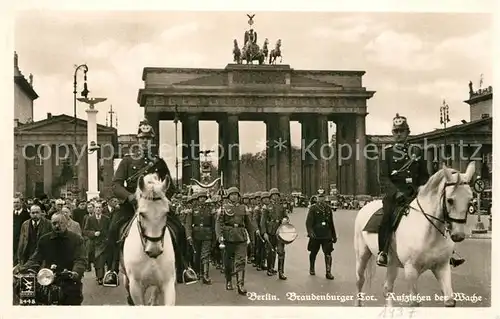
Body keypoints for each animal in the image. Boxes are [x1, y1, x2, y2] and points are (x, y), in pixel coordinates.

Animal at [354, 164, 474, 308]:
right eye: (450, 200)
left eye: (470, 200)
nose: (458, 235)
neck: (430, 233)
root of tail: (366, 205)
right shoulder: (411, 270)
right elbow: (414, 303)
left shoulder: (442, 267)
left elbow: (449, 300)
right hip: (362, 255)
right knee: (360, 280)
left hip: (392, 263)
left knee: (387, 288)